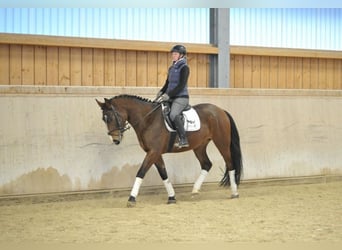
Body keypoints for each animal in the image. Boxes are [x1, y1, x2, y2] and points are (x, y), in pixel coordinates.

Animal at [95, 94, 242, 206]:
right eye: (103, 119)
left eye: (112, 117)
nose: (115, 140)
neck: (148, 119)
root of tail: (221, 110)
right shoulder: (155, 153)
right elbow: (163, 174)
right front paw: (172, 197)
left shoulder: (153, 152)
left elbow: (141, 172)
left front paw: (131, 198)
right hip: (199, 146)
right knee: (207, 164)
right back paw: (195, 190)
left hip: (222, 142)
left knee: (230, 164)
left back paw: (234, 193)